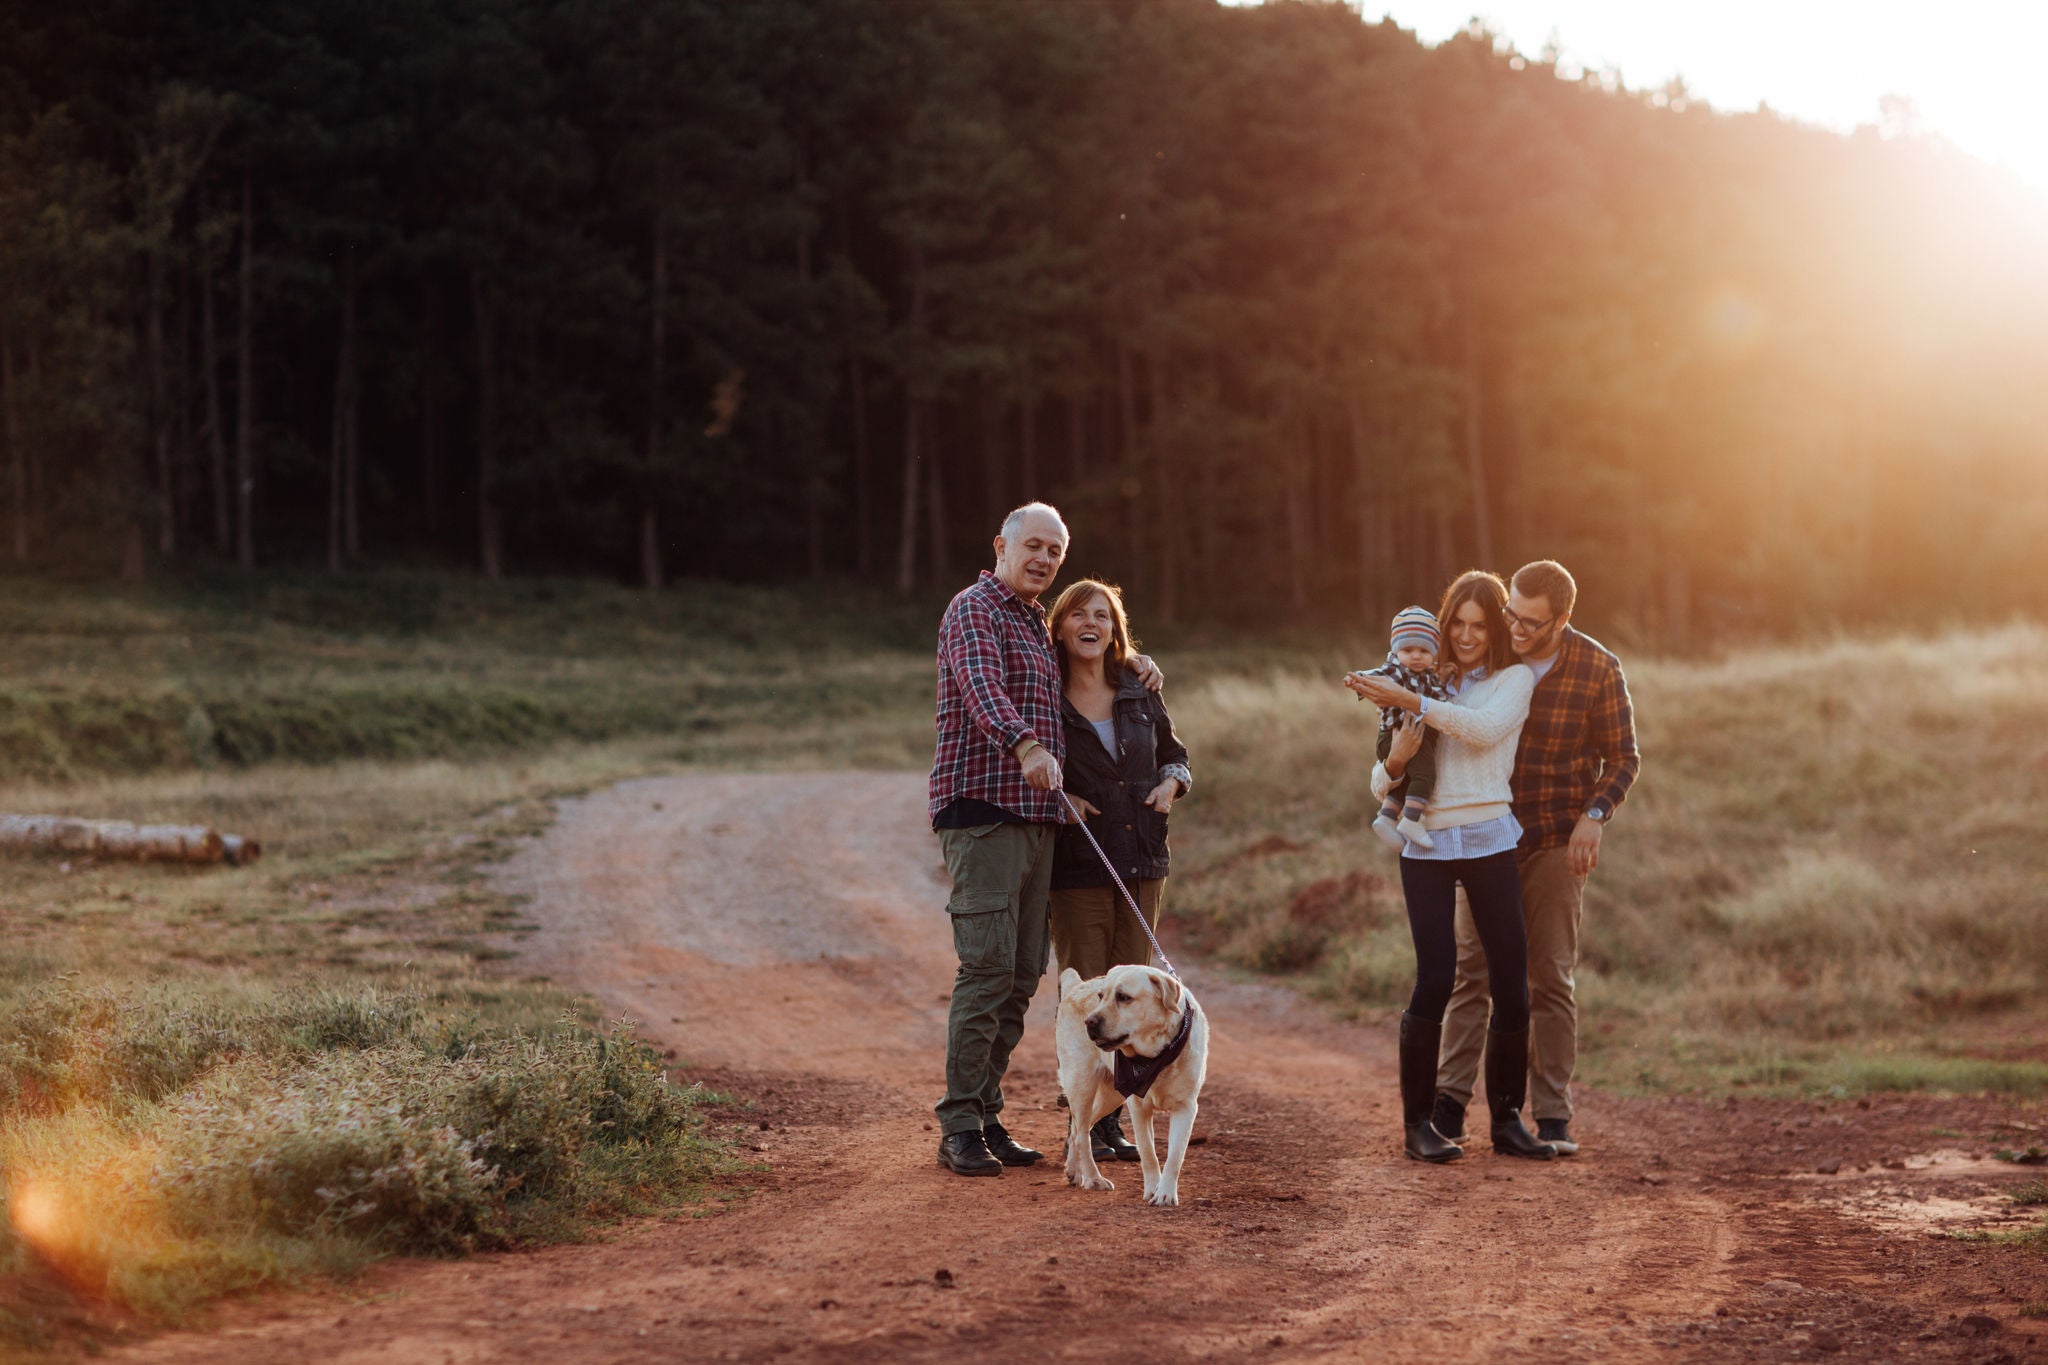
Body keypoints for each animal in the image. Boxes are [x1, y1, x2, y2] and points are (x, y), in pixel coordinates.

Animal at [1064, 961, 1204, 1203]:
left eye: (1123, 997)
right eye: (1101, 996)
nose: (1088, 1021)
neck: (1156, 1056)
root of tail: (1076, 985)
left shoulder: (1186, 1108)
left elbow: (1175, 1156)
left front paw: (1165, 1193)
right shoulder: (1138, 1106)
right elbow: (1148, 1153)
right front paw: (1152, 1190)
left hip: (1111, 1096)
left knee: (1077, 1130)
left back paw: (1075, 1171)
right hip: (1082, 1085)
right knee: (1082, 1134)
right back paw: (1094, 1179)